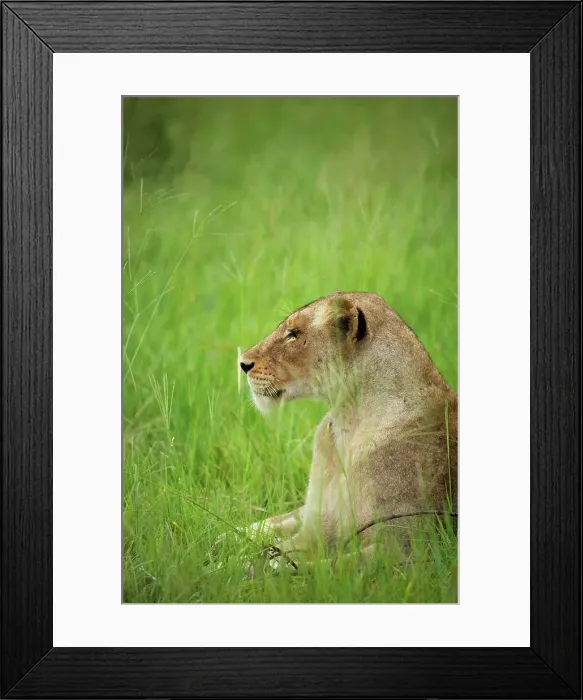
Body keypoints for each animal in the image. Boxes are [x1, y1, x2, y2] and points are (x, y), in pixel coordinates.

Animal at [237, 291, 457, 570]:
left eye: (293, 334)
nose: (242, 363)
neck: (346, 425)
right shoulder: (318, 512)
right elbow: (272, 524)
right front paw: (225, 537)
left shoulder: (411, 544)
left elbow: (334, 565)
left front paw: (263, 567)